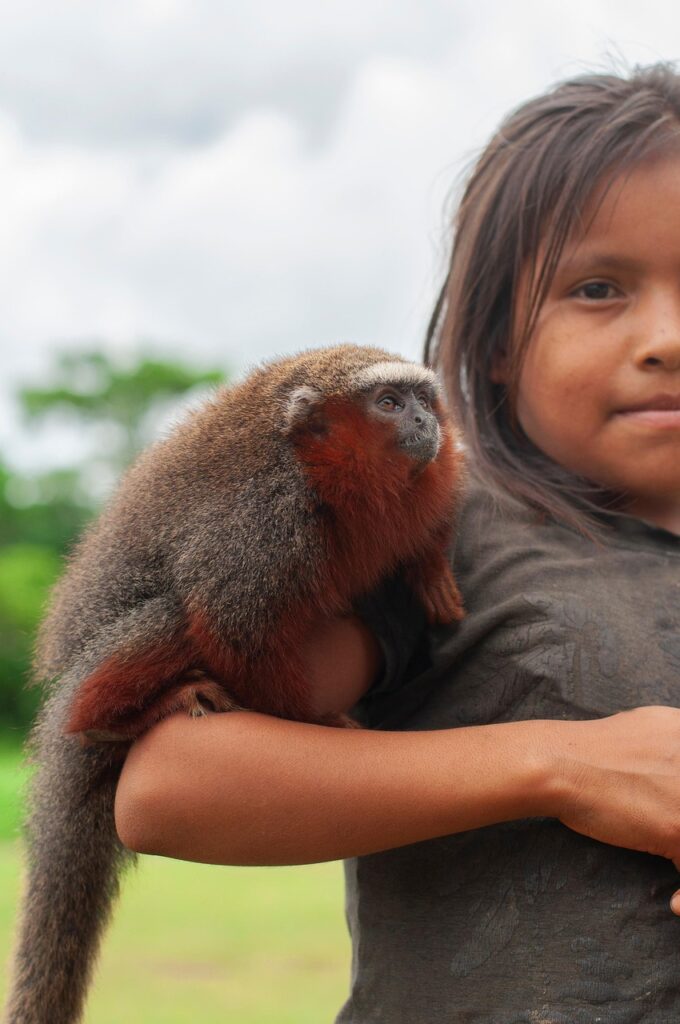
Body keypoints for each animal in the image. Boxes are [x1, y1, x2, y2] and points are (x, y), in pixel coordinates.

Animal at [3, 343, 465, 1024]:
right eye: (388, 403)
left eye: (423, 400)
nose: (424, 421)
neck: (317, 469)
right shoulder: (265, 521)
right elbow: (232, 623)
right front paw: (312, 720)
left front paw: (429, 565)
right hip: (89, 671)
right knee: (173, 614)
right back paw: (113, 719)